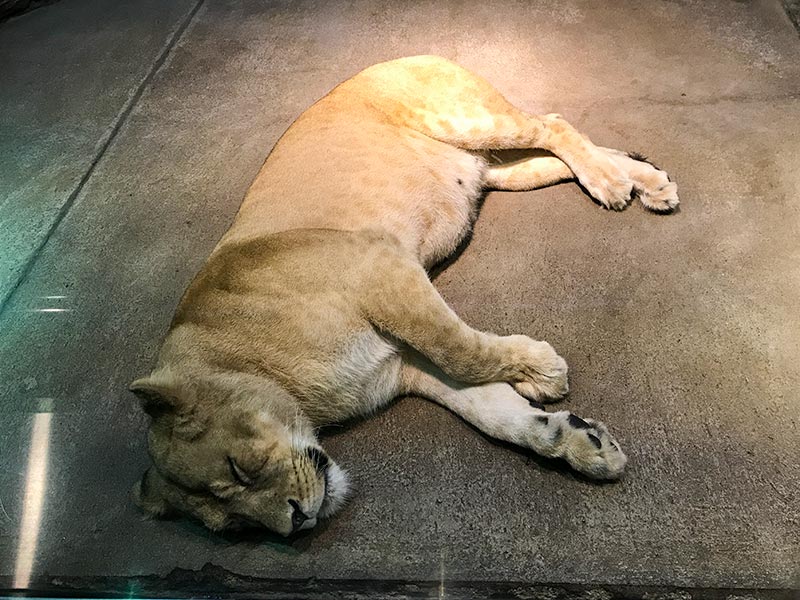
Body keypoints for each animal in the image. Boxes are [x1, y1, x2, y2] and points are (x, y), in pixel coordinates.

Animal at [130, 55, 676, 536]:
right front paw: (582, 443)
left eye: (238, 468)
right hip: (500, 169)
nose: (296, 523)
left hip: (471, 123)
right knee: (559, 154)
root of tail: (391, 58)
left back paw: (615, 183)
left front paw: (544, 371)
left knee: (554, 125)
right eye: (234, 525)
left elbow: (461, 349)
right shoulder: (405, 364)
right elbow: (498, 415)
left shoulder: (382, 267)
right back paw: (642, 178)